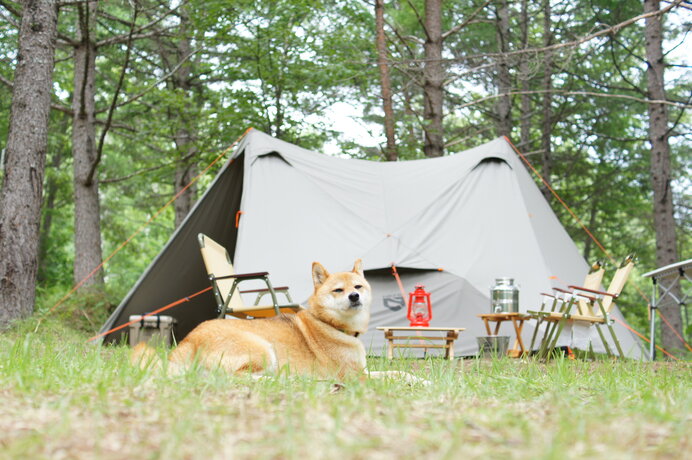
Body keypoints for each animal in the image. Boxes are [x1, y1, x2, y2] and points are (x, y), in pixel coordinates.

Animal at [134, 260, 384, 380]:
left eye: (358, 286)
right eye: (338, 290)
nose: (354, 296)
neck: (331, 324)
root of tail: (189, 341)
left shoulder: (364, 371)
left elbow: (388, 374)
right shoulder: (355, 376)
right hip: (262, 348)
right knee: (239, 378)